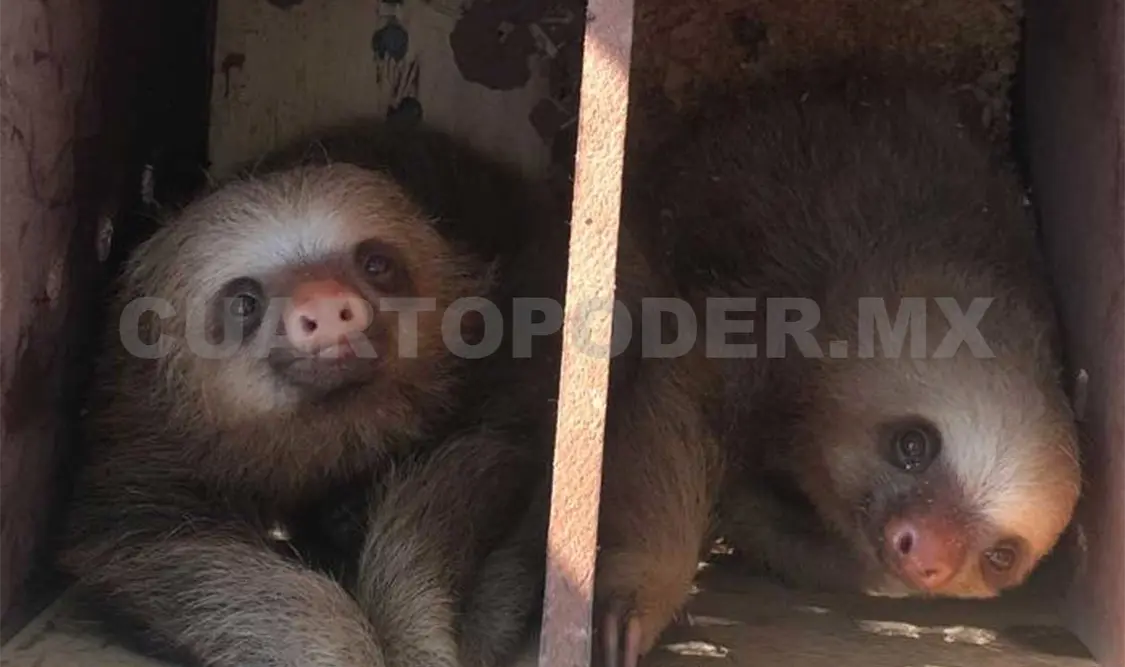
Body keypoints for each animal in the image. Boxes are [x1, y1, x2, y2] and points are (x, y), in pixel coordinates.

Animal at [617, 74, 1083, 609]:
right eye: (912, 444)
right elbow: (681, 396)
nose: (927, 554)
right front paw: (636, 592)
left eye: (1000, 557)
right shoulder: (760, 328)